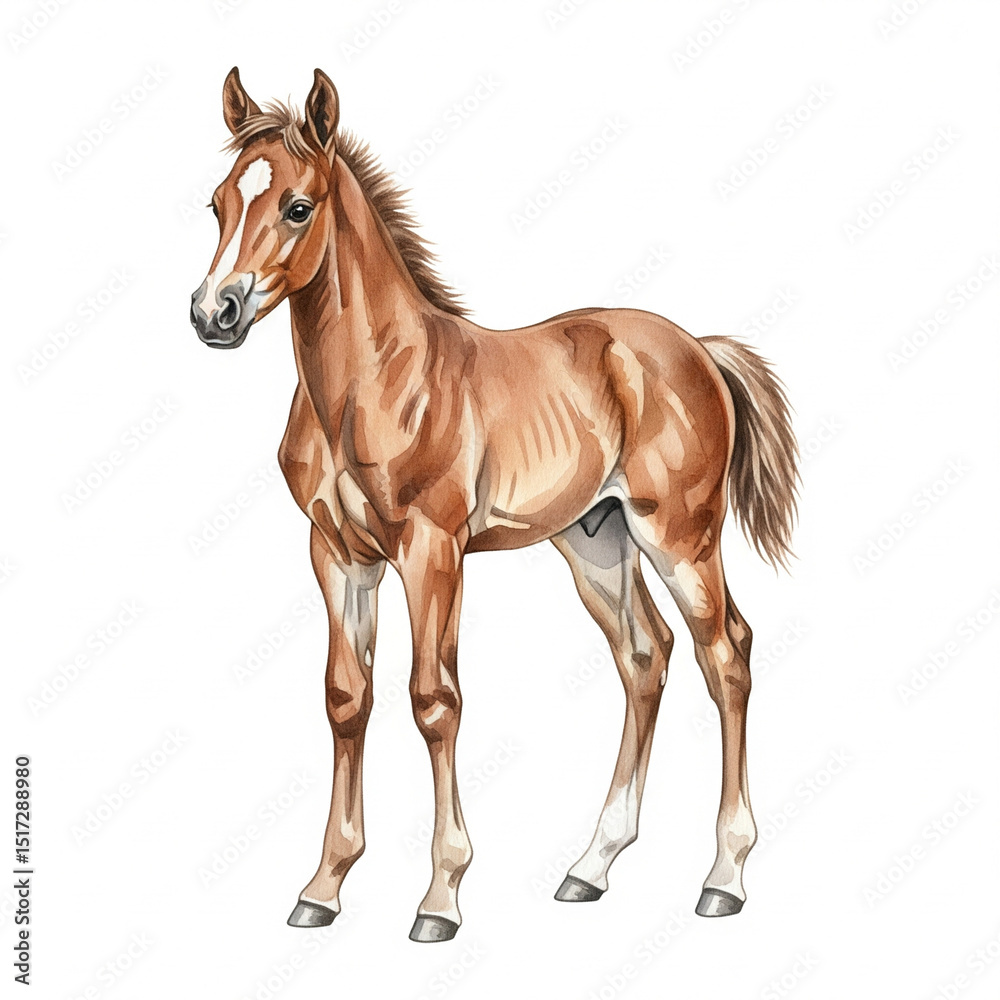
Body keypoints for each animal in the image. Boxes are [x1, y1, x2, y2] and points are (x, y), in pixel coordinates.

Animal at [190, 67, 798, 944]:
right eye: (217, 204)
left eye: (297, 207)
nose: (215, 314)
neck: (374, 381)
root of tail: (697, 350)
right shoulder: (337, 553)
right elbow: (346, 698)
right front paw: (323, 887)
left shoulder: (431, 550)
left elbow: (434, 701)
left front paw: (440, 897)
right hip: (595, 541)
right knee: (645, 656)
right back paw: (590, 867)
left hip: (680, 535)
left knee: (728, 656)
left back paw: (724, 877)